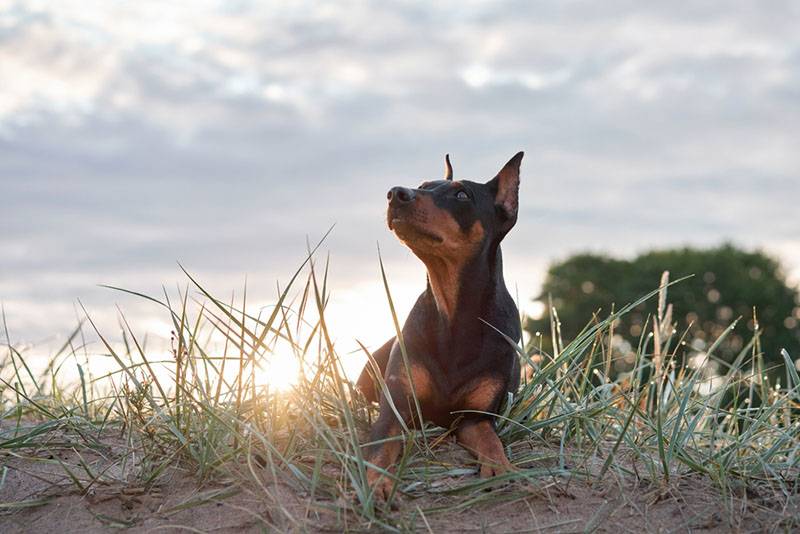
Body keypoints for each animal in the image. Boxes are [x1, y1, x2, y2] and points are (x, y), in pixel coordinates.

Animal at [358, 152, 524, 502]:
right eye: (422, 186)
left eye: (462, 195)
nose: (396, 193)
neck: (454, 315)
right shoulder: (395, 410)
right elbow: (381, 449)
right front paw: (379, 484)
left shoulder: (475, 418)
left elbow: (491, 440)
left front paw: (500, 469)